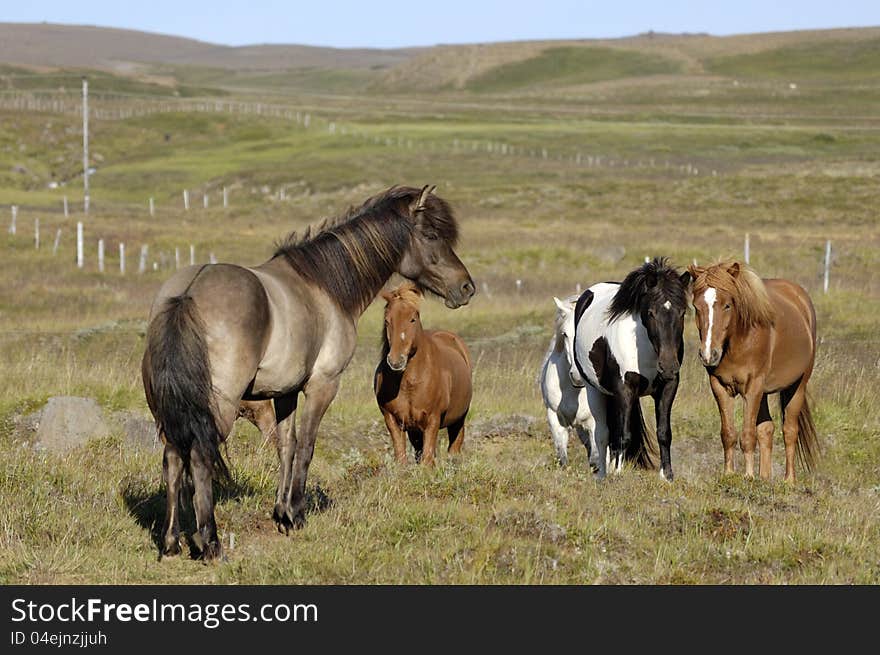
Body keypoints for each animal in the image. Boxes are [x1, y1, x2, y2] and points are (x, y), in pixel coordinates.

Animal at [376, 284, 474, 466]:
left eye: (413, 319)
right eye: (387, 320)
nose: (396, 361)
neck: (409, 384)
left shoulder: (432, 419)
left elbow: (427, 461)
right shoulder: (392, 420)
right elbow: (401, 458)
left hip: (458, 420)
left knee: (454, 447)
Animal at [540, 294, 600, 468]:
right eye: (565, 334)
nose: (578, 376)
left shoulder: (594, 421)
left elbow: (596, 458)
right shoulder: (555, 417)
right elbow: (563, 458)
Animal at [568, 258, 692, 480]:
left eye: (682, 312)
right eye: (651, 312)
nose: (668, 366)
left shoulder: (668, 387)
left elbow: (664, 432)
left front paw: (667, 476)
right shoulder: (624, 389)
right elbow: (623, 435)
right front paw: (618, 473)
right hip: (595, 391)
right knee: (602, 434)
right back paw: (603, 475)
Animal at [684, 262, 820, 482]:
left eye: (727, 305)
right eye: (696, 307)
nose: (708, 354)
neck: (740, 340)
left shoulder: (753, 387)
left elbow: (748, 435)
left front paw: (748, 476)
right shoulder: (720, 386)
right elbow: (728, 434)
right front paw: (729, 474)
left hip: (796, 386)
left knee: (790, 431)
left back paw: (789, 480)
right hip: (763, 393)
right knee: (767, 429)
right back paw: (764, 477)